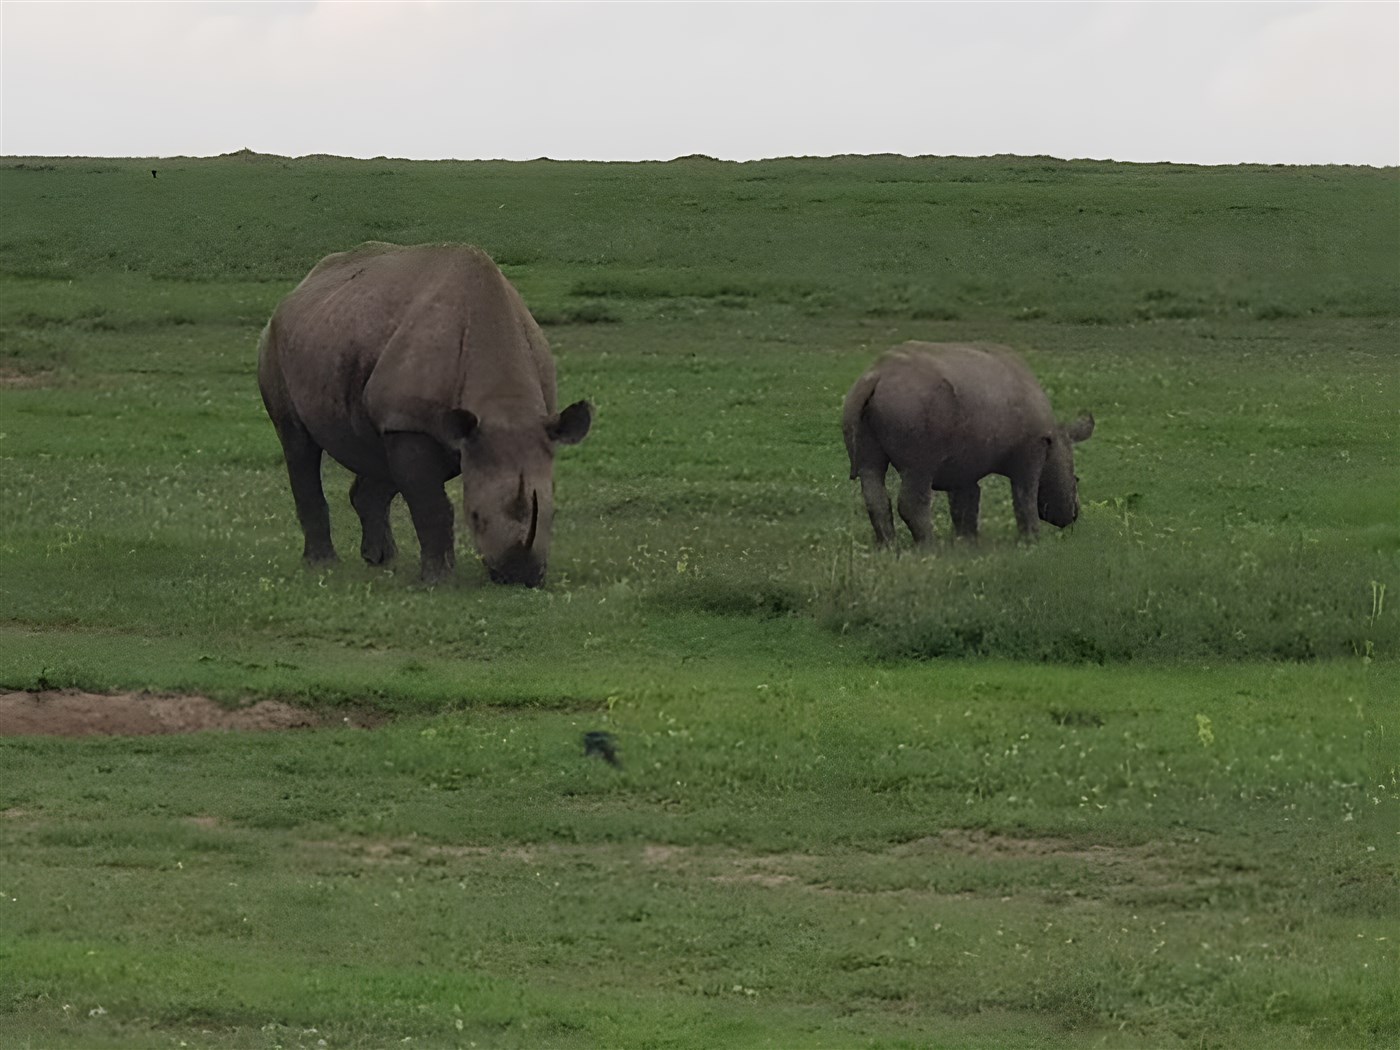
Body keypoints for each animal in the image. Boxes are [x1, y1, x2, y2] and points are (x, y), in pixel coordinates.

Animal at [257, 242, 592, 587]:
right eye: (475, 518)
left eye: (554, 515)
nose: (519, 576)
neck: (504, 404)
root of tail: (301, 286)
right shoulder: (410, 424)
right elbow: (431, 506)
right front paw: (437, 580)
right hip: (274, 342)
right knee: (298, 442)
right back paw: (323, 564)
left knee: (376, 453)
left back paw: (381, 560)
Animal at [842, 342, 1093, 547]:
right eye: (1077, 480)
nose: (1074, 513)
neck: (1055, 442)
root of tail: (874, 378)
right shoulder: (1031, 453)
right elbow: (1025, 498)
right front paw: (1033, 541)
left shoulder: (963, 465)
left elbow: (966, 503)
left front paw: (968, 543)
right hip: (912, 416)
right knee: (916, 485)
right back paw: (930, 547)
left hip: (859, 405)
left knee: (871, 475)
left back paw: (888, 546)